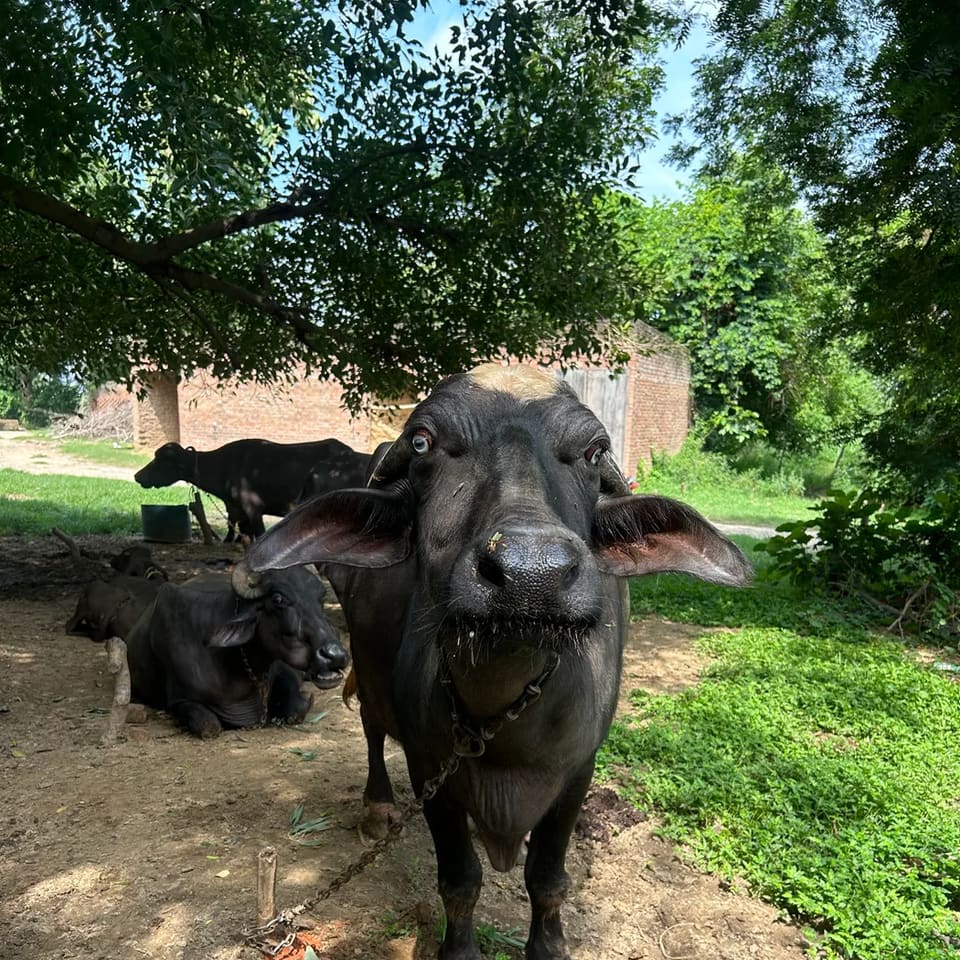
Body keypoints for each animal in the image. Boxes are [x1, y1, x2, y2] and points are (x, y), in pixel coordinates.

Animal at [125, 567, 348, 738]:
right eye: (278, 599)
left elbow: (297, 709)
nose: (335, 655)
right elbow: (209, 726)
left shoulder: (283, 670)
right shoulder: (177, 701)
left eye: (320, 598)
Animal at [235, 363, 750, 960]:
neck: (503, 716)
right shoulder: (429, 766)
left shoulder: (578, 769)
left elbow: (548, 879)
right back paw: (379, 807)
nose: (532, 573)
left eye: (595, 451)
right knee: (370, 726)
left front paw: (548, 945)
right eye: (422, 442)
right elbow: (460, 881)